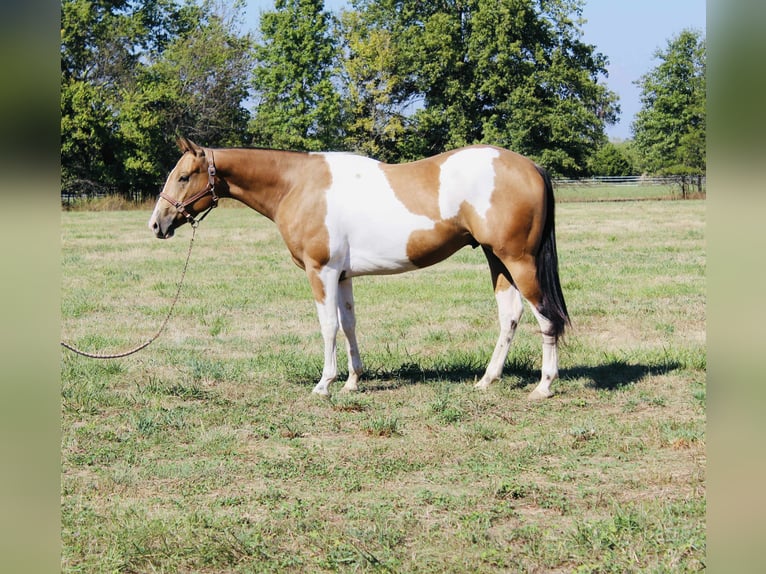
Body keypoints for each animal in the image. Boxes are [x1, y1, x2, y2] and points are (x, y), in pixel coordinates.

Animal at [149, 138, 570, 399]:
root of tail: (531, 166)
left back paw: (544, 386)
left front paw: (325, 383)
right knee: (510, 315)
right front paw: (352, 381)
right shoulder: (342, 275)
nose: (157, 224)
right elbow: (349, 324)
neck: (297, 185)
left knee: (546, 317)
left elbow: (328, 326)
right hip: (497, 259)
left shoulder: (321, 272)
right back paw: (487, 380)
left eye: (184, 176)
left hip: (518, 260)